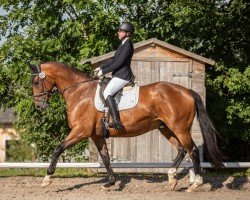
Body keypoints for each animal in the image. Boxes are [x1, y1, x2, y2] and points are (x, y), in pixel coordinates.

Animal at [27, 61, 225, 192]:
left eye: (36, 82)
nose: (39, 106)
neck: (79, 92)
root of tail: (187, 91)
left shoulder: (80, 131)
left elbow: (58, 148)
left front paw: (47, 178)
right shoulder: (96, 136)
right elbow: (105, 158)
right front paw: (111, 182)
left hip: (180, 128)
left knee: (192, 150)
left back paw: (196, 183)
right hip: (165, 128)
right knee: (182, 149)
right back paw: (171, 178)